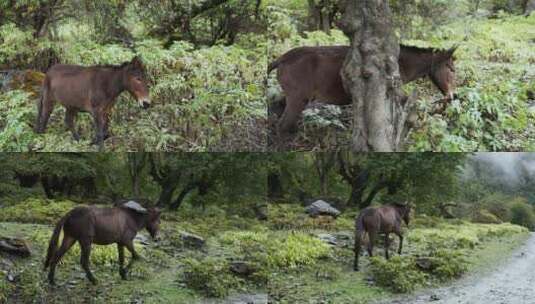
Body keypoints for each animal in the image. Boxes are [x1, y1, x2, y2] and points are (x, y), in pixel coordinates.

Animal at [268, 44, 456, 135]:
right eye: (451, 68)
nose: (451, 96)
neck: (402, 64)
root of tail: (281, 60)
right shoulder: (392, 92)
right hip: (298, 99)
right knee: (282, 125)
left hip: (291, 97)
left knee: (277, 111)